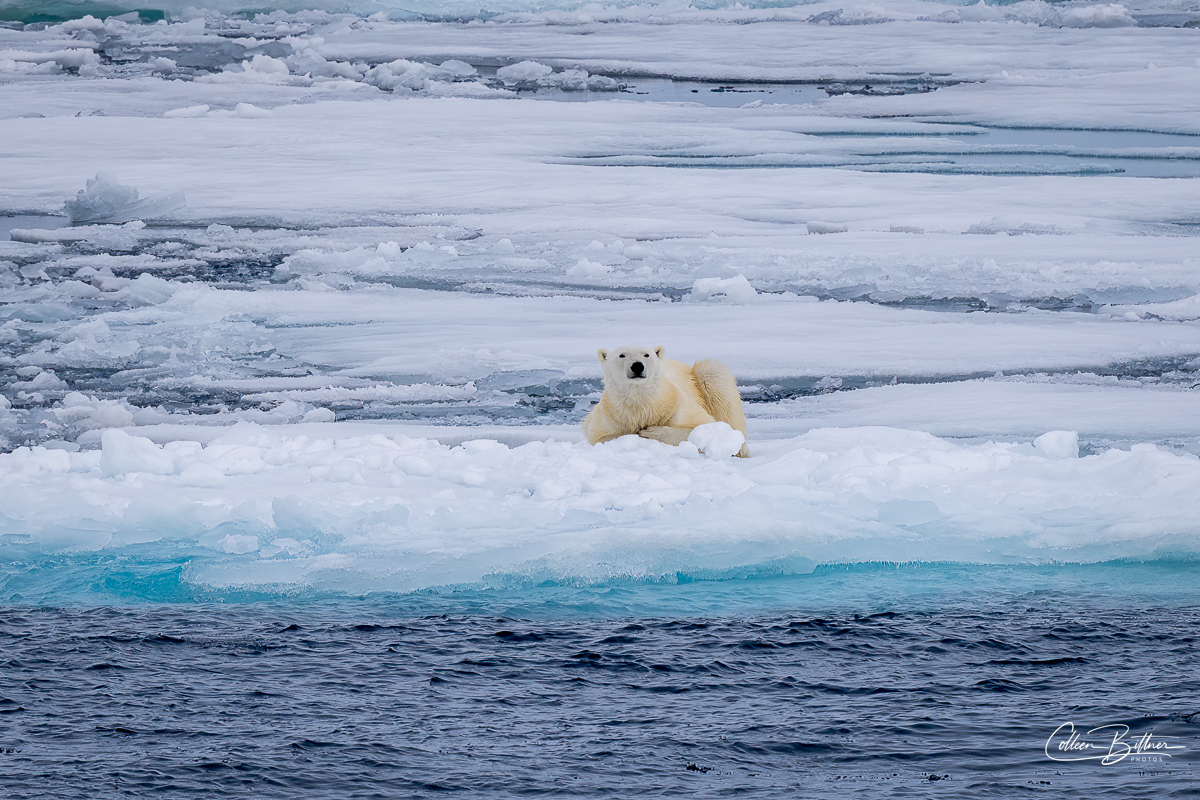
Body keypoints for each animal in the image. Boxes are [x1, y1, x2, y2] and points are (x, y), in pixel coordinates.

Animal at [583, 343, 748, 455]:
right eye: (622, 355)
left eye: (646, 355)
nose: (637, 366)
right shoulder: (608, 416)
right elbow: (600, 436)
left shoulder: (676, 405)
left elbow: (709, 428)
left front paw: (651, 433)